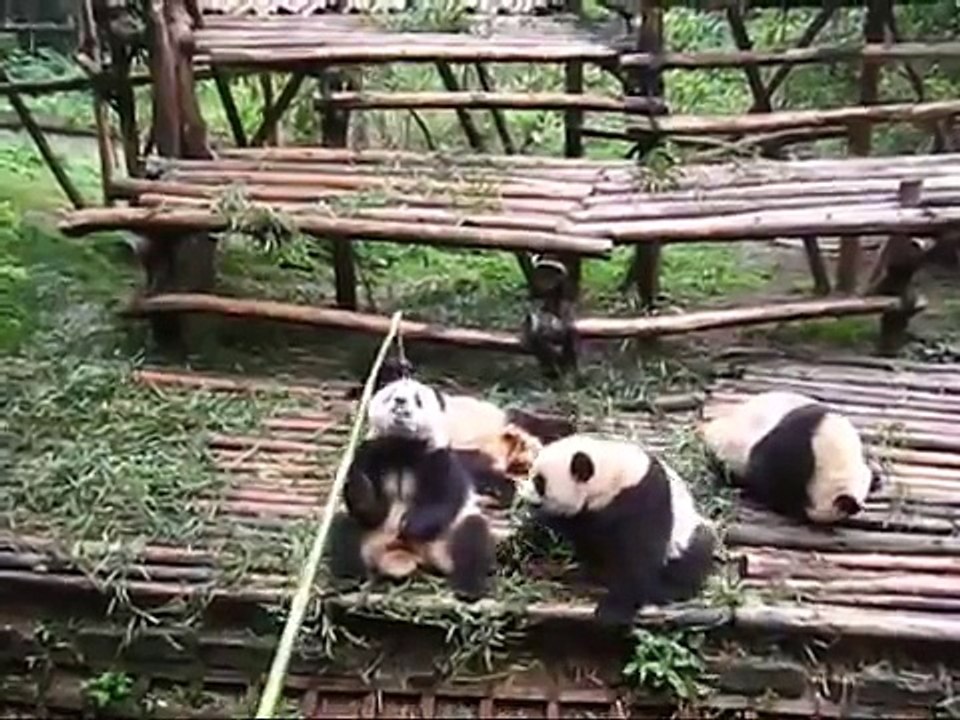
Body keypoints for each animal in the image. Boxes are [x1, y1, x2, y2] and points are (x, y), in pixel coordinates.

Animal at [328, 376, 496, 601]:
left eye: (418, 399)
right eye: (391, 395)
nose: (400, 401)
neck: (402, 446)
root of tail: (405, 556)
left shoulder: (438, 458)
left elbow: (443, 499)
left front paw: (409, 525)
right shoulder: (370, 454)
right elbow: (371, 509)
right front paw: (361, 485)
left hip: (446, 538)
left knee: (472, 535)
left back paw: (467, 588)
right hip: (370, 540)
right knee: (345, 528)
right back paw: (349, 580)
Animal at [516, 434, 716, 626]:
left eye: (539, 482)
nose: (523, 491)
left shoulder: (644, 499)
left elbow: (639, 555)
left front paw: (614, 609)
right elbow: (589, 540)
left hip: (686, 534)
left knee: (695, 552)